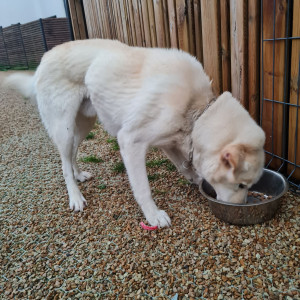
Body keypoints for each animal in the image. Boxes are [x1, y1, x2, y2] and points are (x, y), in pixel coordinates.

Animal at [4, 39, 264, 227]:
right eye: (241, 185)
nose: (242, 207)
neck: (196, 110)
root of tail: (43, 59)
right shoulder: (130, 142)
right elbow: (143, 188)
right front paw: (153, 215)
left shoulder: (169, 141)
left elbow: (185, 165)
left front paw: (195, 178)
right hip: (64, 128)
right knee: (63, 164)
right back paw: (75, 197)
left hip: (84, 124)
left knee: (71, 155)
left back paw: (79, 175)